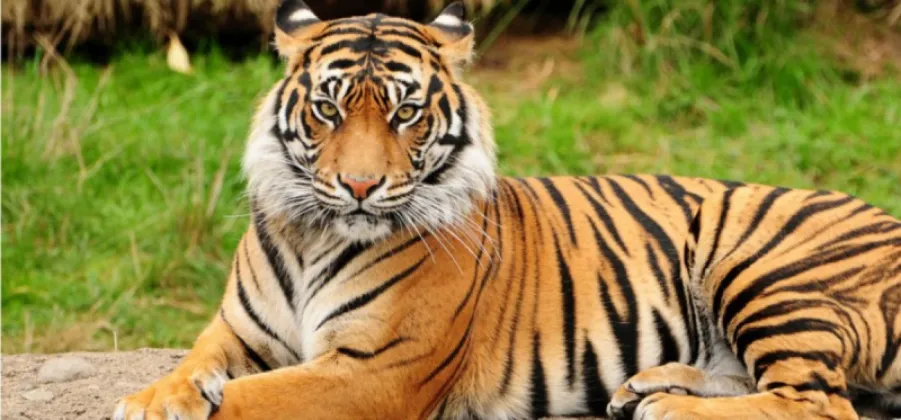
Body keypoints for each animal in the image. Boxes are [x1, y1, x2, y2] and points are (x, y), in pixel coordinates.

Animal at [114, 1, 901, 419]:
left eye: (404, 113)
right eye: (328, 110)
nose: (360, 187)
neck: (314, 235)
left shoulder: (375, 369)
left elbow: (245, 401)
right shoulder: (235, 332)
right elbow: (192, 367)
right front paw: (151, 400)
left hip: (761, 266)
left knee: (817, 401)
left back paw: (668, 405)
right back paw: (647, 385)